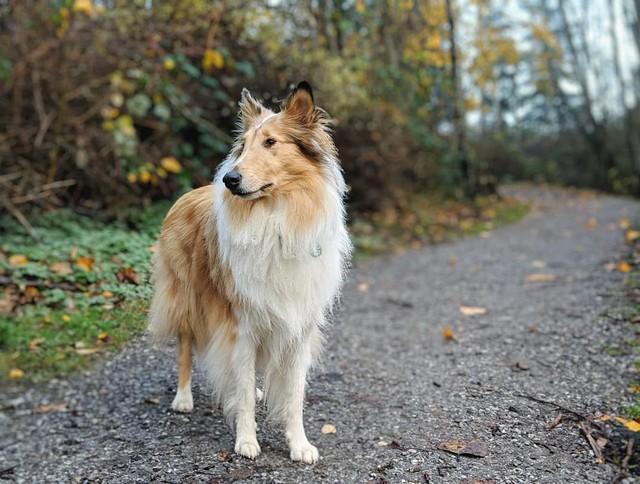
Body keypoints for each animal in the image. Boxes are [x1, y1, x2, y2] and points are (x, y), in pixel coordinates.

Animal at [148, 81, 352, 464]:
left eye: (271, 142)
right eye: (243, 146)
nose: (230, 179)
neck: (277, 220)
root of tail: (187, 194)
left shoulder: (298, 326)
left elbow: (294, 396)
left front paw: (299, 444)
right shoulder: (241, 325)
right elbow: (240, 390)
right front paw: (246, 441)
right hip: (186, 297)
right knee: (185, 346)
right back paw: (183, 398)